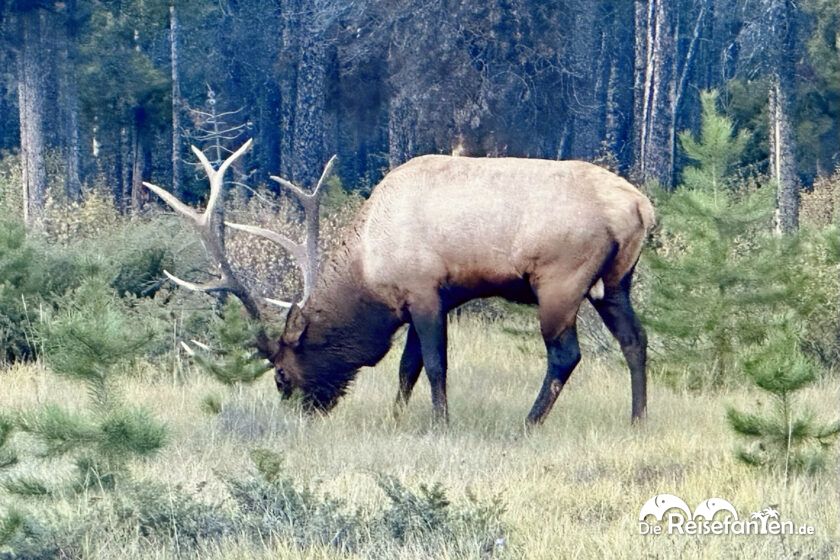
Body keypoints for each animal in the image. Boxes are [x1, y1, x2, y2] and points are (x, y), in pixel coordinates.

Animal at [144, 139, 656, 424]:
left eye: (283, 375)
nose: (301, 414)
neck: (369, 268)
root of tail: (639, 207)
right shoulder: (425, 300)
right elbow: (407, 367)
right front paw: (395, 417)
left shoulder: (425, 292)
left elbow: (434, 365)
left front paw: (441, 422)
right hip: (617, 281)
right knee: (635, 339)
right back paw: (637, 418)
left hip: (560, 280)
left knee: (566, 355)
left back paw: (529, 422)